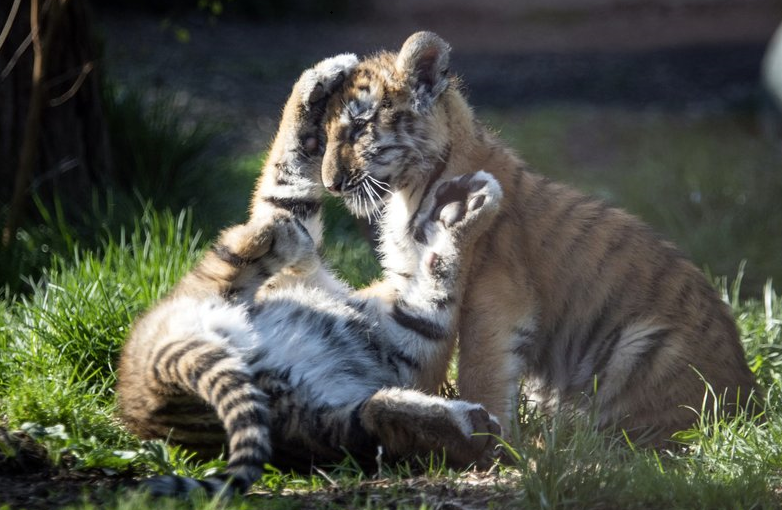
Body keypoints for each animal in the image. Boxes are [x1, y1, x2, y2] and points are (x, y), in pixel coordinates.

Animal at [116, 54, 502, 497]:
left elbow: (436, 273)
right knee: (249, 245)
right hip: (208, 293)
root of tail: (148, 394)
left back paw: (477, 431)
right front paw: (322, 76)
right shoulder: (394, 337)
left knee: (375, 416)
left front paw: (462, 209)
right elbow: (286, 170)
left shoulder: (402, 343)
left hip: (311, 421)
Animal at [318, 31, 760, 445]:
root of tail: (750, 400)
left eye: (359, 128)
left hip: (640, 347)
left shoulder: (495, 296)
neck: (408, 190)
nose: (330, 184)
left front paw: (493, 436)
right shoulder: (414, 278)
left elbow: (481, 368)